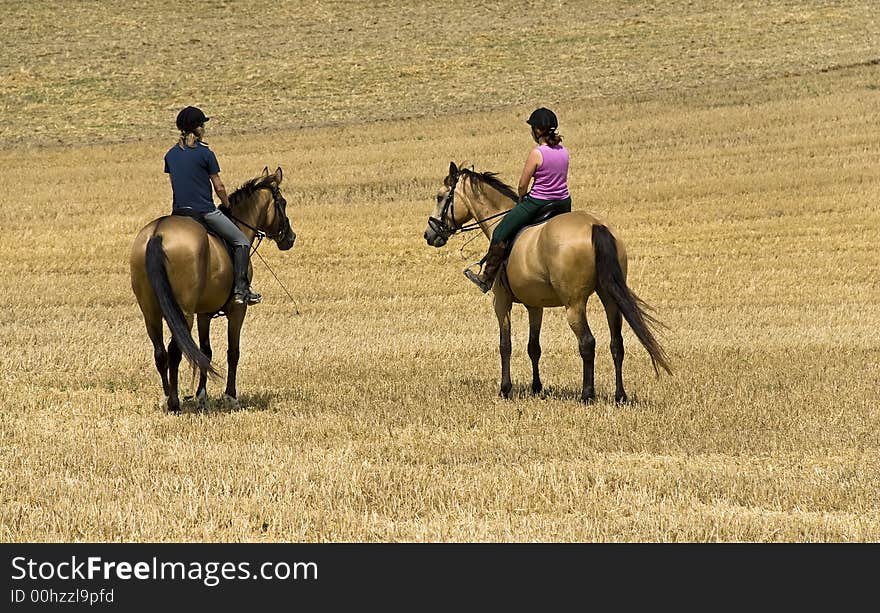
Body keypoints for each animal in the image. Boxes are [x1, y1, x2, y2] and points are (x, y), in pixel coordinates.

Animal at [130, 166, 296, 412]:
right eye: (282, 203)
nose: (291, 238)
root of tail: (157, 234)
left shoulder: (204, 313)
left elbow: (205, 352)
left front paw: (202, 396)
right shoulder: (237, 310)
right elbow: (233, 352)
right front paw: (230, 396)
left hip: (150, 310)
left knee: (160, 352)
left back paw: (167, 396)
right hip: (183, 311)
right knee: (174, 351)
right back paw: (175, 403)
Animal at [422, 161, 672, 402]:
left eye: (440, 197)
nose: (429, 234)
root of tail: (595, 225)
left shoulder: (501, 301)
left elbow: (505, 345)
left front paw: (505, 389)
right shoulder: (535, 306)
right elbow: (534, 347)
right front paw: (536, 388)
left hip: (574, 305)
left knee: (587, 343)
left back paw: (587, 395)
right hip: (610, 298)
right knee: (616, 343)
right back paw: (620, 396)